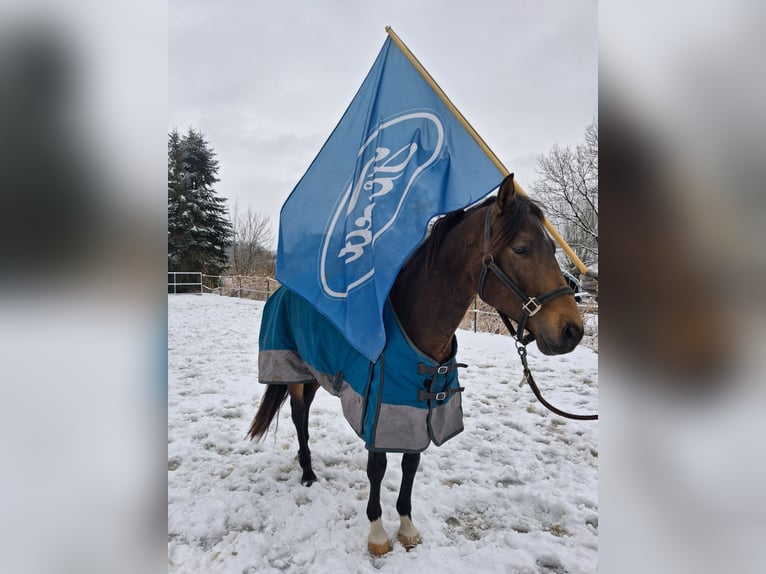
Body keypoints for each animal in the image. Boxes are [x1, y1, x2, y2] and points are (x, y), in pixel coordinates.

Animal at [247, 173, 584, 555]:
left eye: (553, 249)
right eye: (521, 249)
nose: (572, 330)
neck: (415, 326)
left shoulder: (418, 408)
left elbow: (411, 463)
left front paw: (406, 526)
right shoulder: (379, 408)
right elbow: (377, 466)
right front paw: (377, 532)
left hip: (317, 375)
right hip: (297, 375)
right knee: (299, 417)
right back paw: (307, 473)